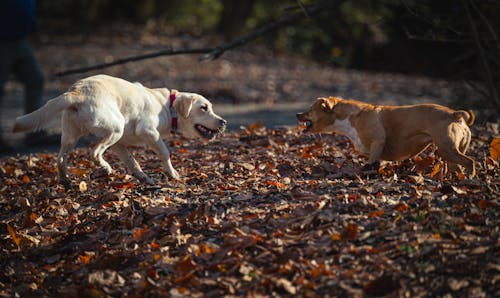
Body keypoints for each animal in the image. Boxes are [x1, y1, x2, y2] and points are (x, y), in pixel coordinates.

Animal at [12, 74, 227, 185]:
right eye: (204, 108)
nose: (223, 122)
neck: (168, 105)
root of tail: (77, 91)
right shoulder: (149, 133)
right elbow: (165, 153)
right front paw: (173, 174)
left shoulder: (120, 145)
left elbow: (132, 161)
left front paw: (143, 177)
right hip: (114, 129)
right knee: (93, 152)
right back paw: (106, 168)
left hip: (73, 136)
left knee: (60, 158)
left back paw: (64, 179)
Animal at [296, 97, 476, 177]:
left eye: (310, 109)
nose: (297, 114)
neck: (351, 117)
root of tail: (454, 114)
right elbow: (376, 163)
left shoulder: (377, 142)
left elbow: (370, 163)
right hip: (450, 154)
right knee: (457, 166)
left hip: (447, 150)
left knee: (470, 162)